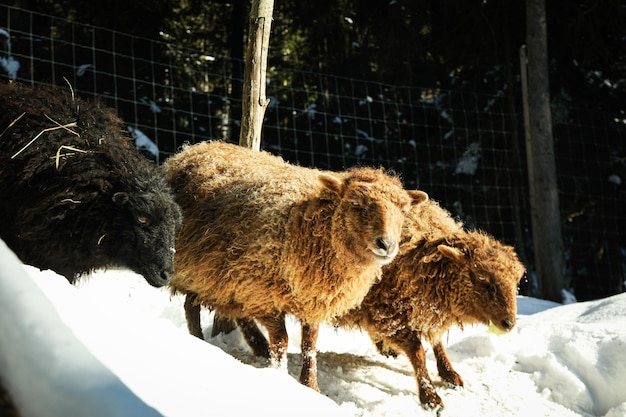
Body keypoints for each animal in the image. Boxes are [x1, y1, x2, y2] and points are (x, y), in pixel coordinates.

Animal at [161, 141, 426, 390]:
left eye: (404, 211)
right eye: (355, 203)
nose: (386, 244)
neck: (306, 223)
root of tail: (193, 149)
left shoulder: (313, 299)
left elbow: (310, 344)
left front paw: (310, 385)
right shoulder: (262, 293)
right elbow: (282, 341)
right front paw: (280, 376)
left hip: (218, 276)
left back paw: (256, 347)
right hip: (198, 269)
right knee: (191, 307)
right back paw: (201, 341)